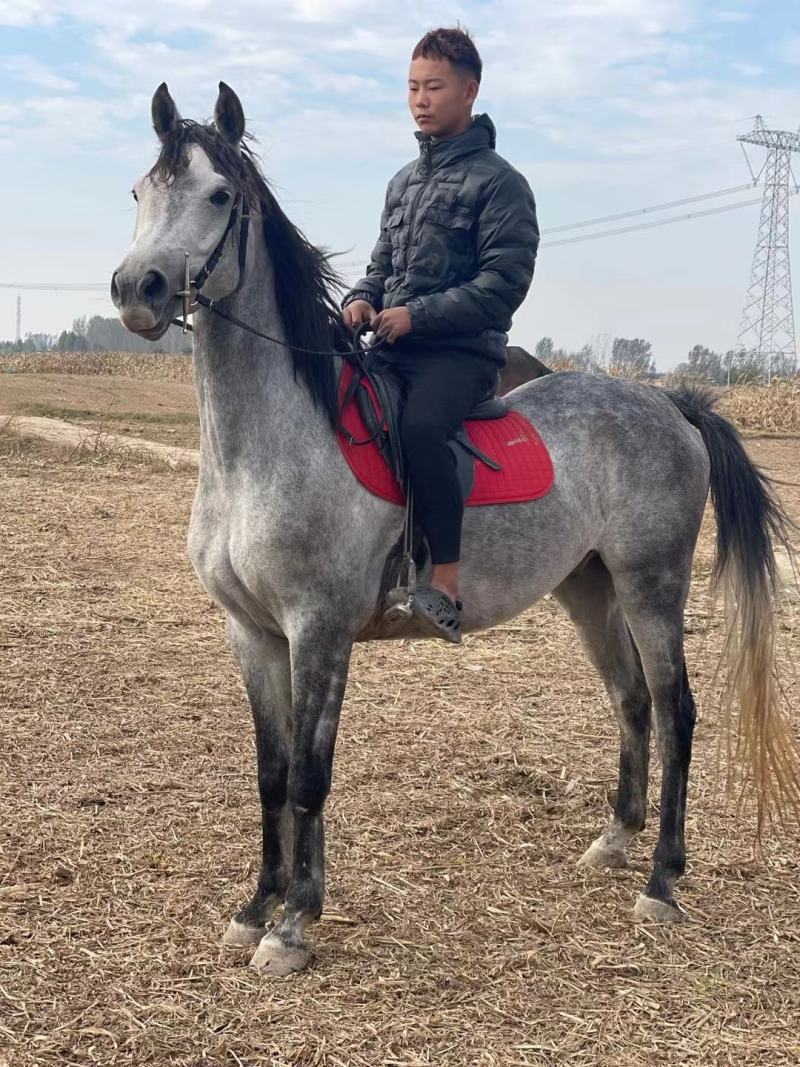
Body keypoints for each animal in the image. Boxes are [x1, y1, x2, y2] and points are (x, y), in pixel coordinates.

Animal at [111, 82, 799, 976]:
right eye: (140, 192)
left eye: (220, 195)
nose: (138, 288)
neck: (268, 441)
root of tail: (668, 402)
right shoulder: (252, 632)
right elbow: (270, 773)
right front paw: (257, 905)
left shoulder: (319, 629)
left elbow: (309, 775)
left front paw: (293, 925)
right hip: (589, 589)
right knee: (631, 700)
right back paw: (614, 842)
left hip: (653, 584)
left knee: (674, 708)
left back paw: (661, 881)